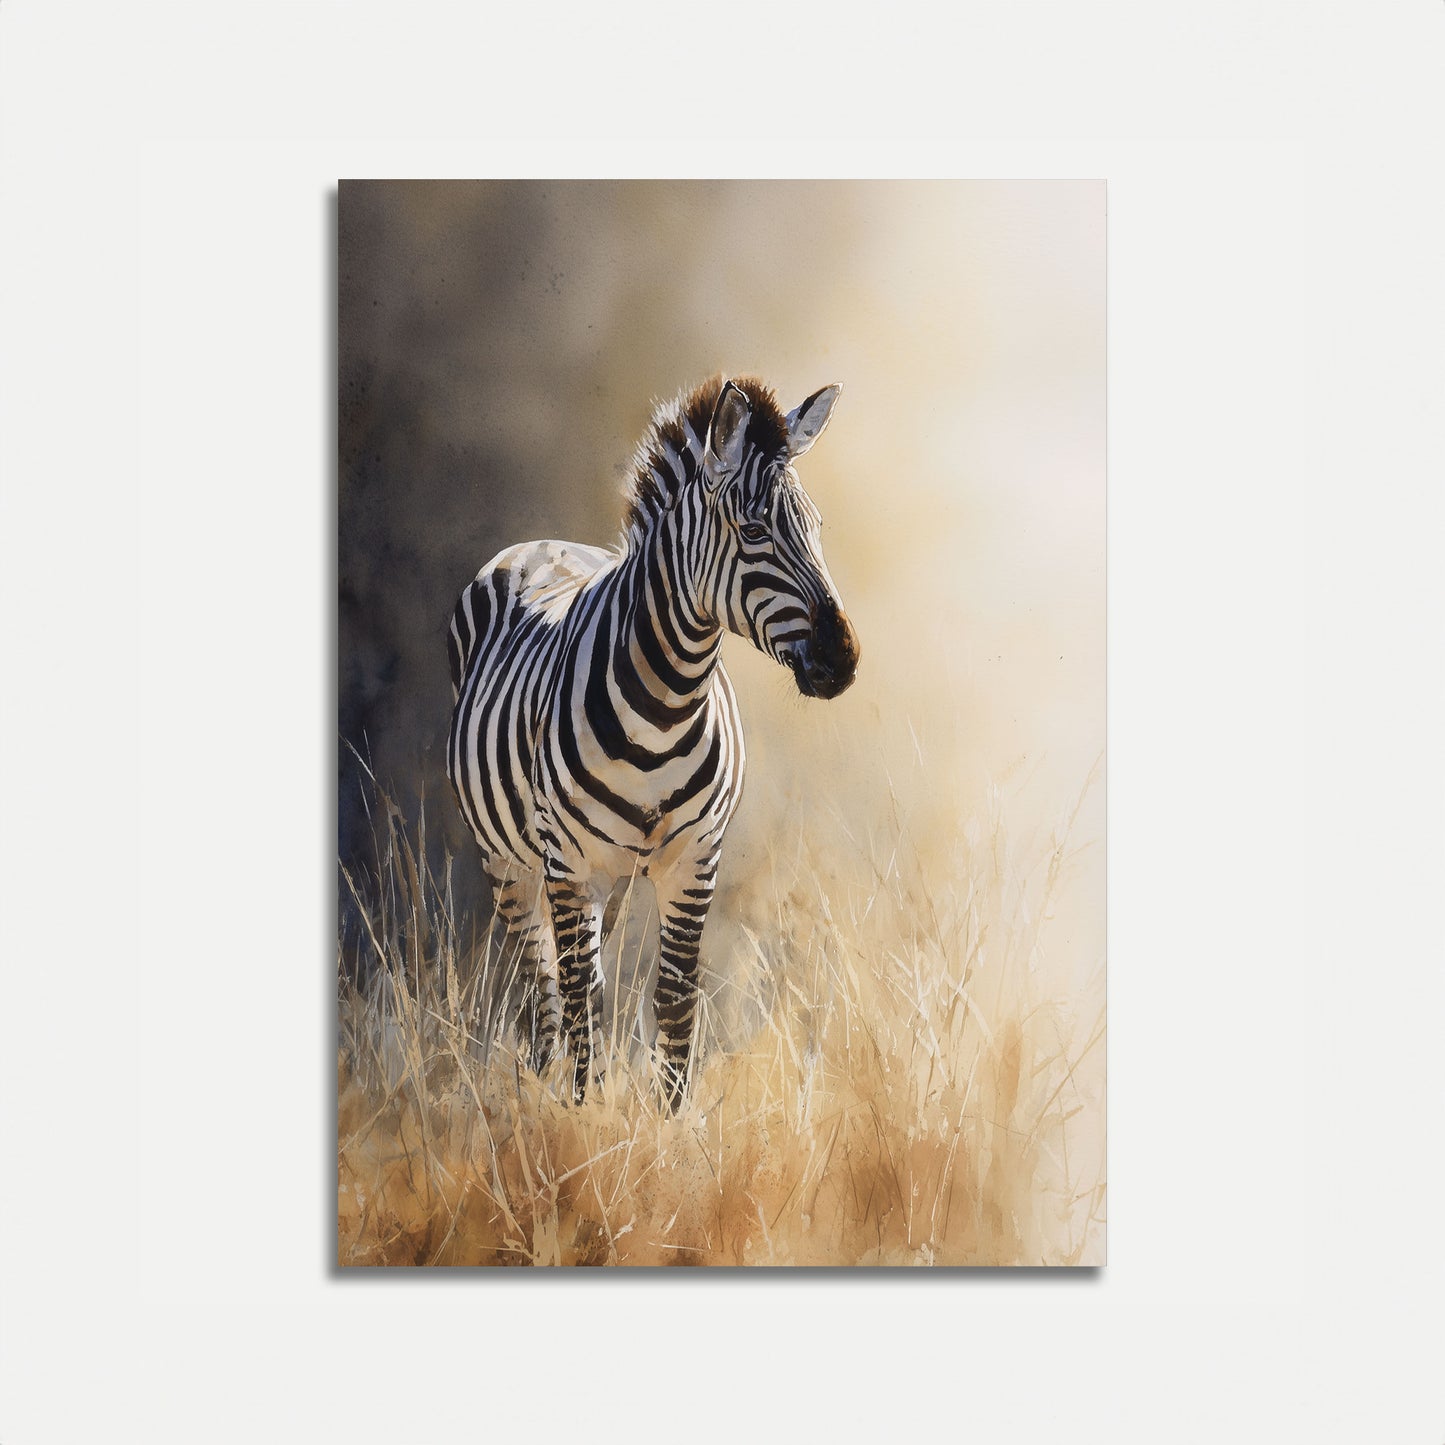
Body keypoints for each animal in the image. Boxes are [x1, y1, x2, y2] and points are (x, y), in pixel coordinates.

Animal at [446, 374, 860, 1109]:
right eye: (754, 531)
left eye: (815, 529)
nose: (842, 660)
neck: (665, 705)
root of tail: (540, 543)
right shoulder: (569, 863)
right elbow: (574, 995)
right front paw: (579, 1118)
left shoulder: (695, 858)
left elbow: (672, 1000)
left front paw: (670, 1122)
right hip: (513, 860)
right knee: (543, 983)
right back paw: (544, 1086)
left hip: (604, 877)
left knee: (584, 979)